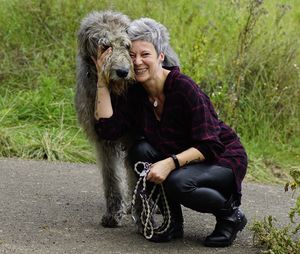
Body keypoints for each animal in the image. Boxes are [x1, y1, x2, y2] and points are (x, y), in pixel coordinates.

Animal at [74, 10, 179, 228]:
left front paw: (143, 217)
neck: (116, 94)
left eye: (128, 46)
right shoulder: (102, 140)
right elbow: (111, 176)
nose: (122, 72)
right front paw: (113, 214)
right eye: (105, 45)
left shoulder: (134, 137)